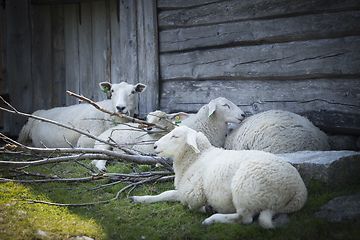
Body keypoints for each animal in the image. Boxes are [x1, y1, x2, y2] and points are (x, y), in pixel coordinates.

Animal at [131, 125, 308, 229]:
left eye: (175, 136)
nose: (154, 146)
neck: (196, 158)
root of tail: (299, 191)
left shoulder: (194, 193)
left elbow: (191, 206)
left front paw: (207, 209)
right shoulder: (183, 191)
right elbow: (165, 194)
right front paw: (139, 198)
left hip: (245, 189)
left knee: (245, 218)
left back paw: (212, 219)